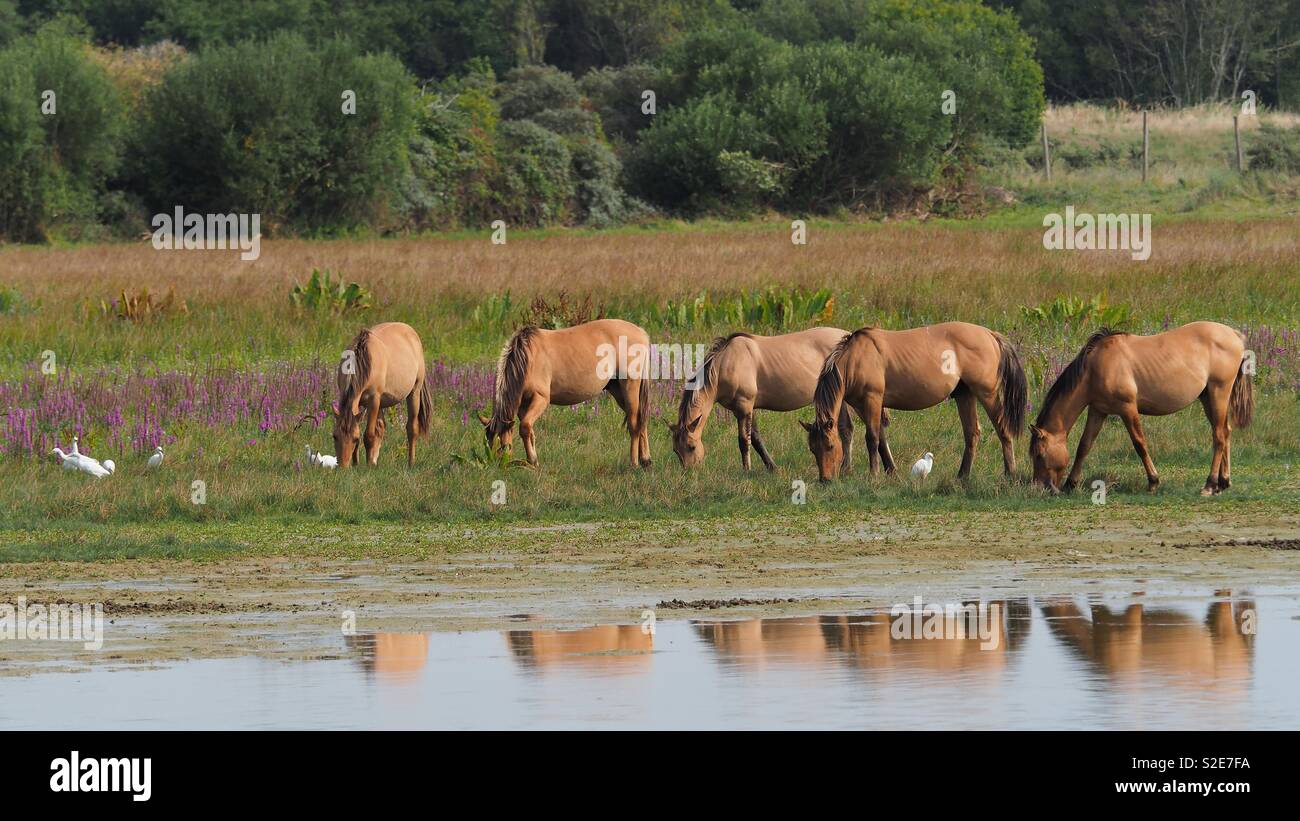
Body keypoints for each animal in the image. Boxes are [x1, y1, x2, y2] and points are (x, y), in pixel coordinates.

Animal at [332, 321, 432, 467]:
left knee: (412, 429)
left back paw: (410, 463)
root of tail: (410, 330)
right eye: (334, 436)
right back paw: (374, 461)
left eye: (355, 439)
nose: (343, 467)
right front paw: (357, 464)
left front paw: (366, 466)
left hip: (414, 393)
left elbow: (368, 435)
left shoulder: (374, 400)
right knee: (381, 427)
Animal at [479, 319, 652, 468]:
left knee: (634, 423)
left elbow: (525, 427)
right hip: (618, 391)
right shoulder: (523, 405)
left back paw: (634, 462)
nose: (497, 466)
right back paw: (646, 460)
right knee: (640, 420)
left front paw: (532, 460)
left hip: (630, 386)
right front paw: (533, 461)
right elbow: (529, 431)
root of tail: (641, 332)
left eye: (503, 446)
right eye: (488, 442)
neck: (528, 357)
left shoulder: (540, 399)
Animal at [670, 328, 870, 471]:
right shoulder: (744, 409)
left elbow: (744, 441)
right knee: (846, 429)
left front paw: (747, 470)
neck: (727, 363)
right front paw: (772, 467)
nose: (690, 472)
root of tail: (848, 337)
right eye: (675, 450)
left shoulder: (744, 406)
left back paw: (846, 467)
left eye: (691, 446)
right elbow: (756, 438)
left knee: (847, 429)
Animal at [804, 322, 1027, 482]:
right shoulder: (861, 405)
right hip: (965, 395)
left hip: (986, 393)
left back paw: (1010, 473)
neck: (855, 358)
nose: (825, 480)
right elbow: (882, 438)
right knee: (972, 433)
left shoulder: (872, 399)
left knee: (1002, 429)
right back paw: (962, 476)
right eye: (812, 449)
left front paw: (874, 475)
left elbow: (872, 438)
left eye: (830, 446)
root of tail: (990, 334)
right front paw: (891, 472)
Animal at [1029, 322, 1253, 495]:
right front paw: (1071, 484)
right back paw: (1223, 482)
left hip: (1219, 393)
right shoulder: (1098, 410)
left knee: (1219, 435)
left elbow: (1139, 443)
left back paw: (1210, 484)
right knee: (1225, 432)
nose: (1040, 487)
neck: (1095, 367)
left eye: (1039, 455)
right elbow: (1084, 445)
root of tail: (1234, 334)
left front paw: (1153, 481)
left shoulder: (1127, 409)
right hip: (1208, 397)